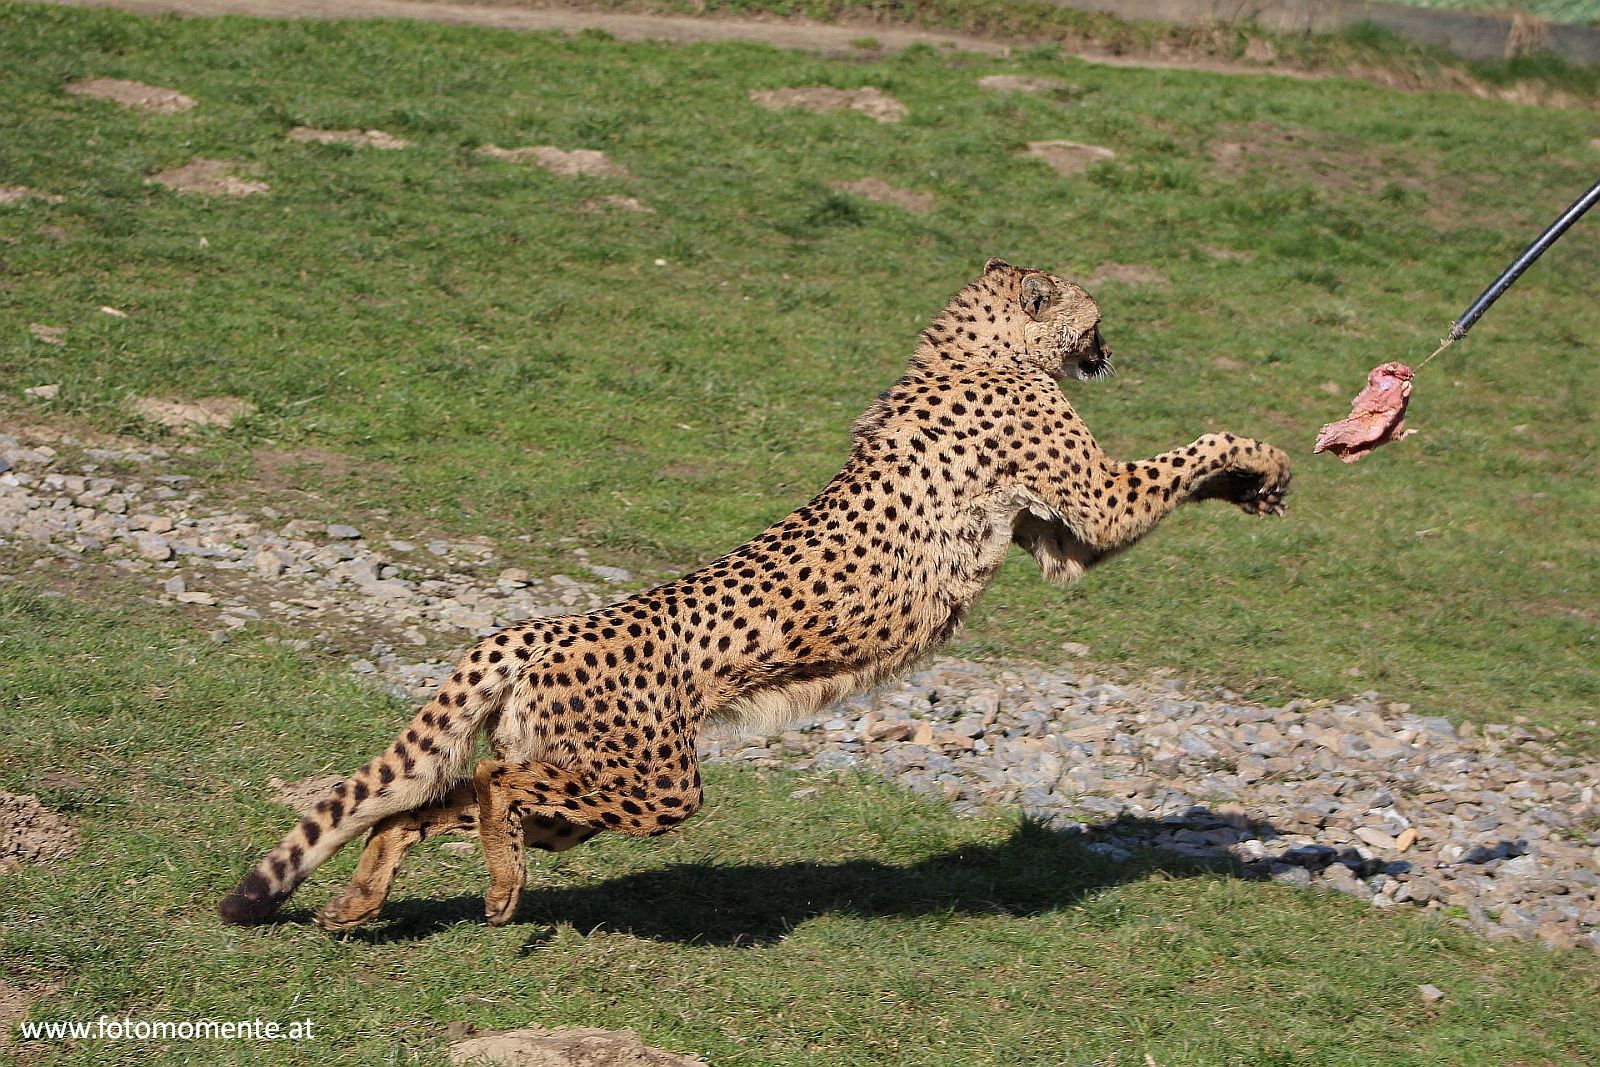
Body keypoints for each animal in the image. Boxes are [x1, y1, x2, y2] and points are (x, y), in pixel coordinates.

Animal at [219, 255, 1292, 927]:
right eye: (1094, 316)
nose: (1109, 350)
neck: (975, 345)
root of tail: (544, 625)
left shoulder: (1062, 537)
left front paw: (1250, 483)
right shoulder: (1098, 501)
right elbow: (1195, 448)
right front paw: (1265, 460)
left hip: (582, 789)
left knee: (424, 799)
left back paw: (362, 900)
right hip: (655, 781)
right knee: (490, 785)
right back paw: (495, 889)